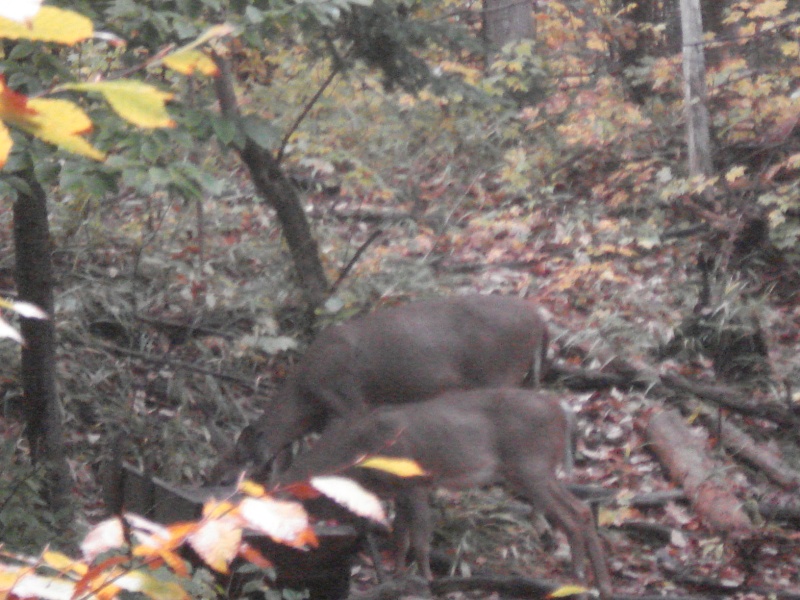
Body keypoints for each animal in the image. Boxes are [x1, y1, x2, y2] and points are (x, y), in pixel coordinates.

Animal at [211, 296, 552, 482]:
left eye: (234, 462)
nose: (208, 476)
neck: (305, 399)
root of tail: (540, 319)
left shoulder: (348, 401)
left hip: (499, 371)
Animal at [278, 386, 608, 596]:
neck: (359, 456)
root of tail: (563, 411)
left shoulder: (416, 483)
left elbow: (420, 540)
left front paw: (426, 580)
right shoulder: (400, 491)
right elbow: (400, 538)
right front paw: (397, 578)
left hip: (530, 466)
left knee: (572, 514)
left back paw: (579, 576)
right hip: (536, 470)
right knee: (581, 510)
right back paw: (596, 582)